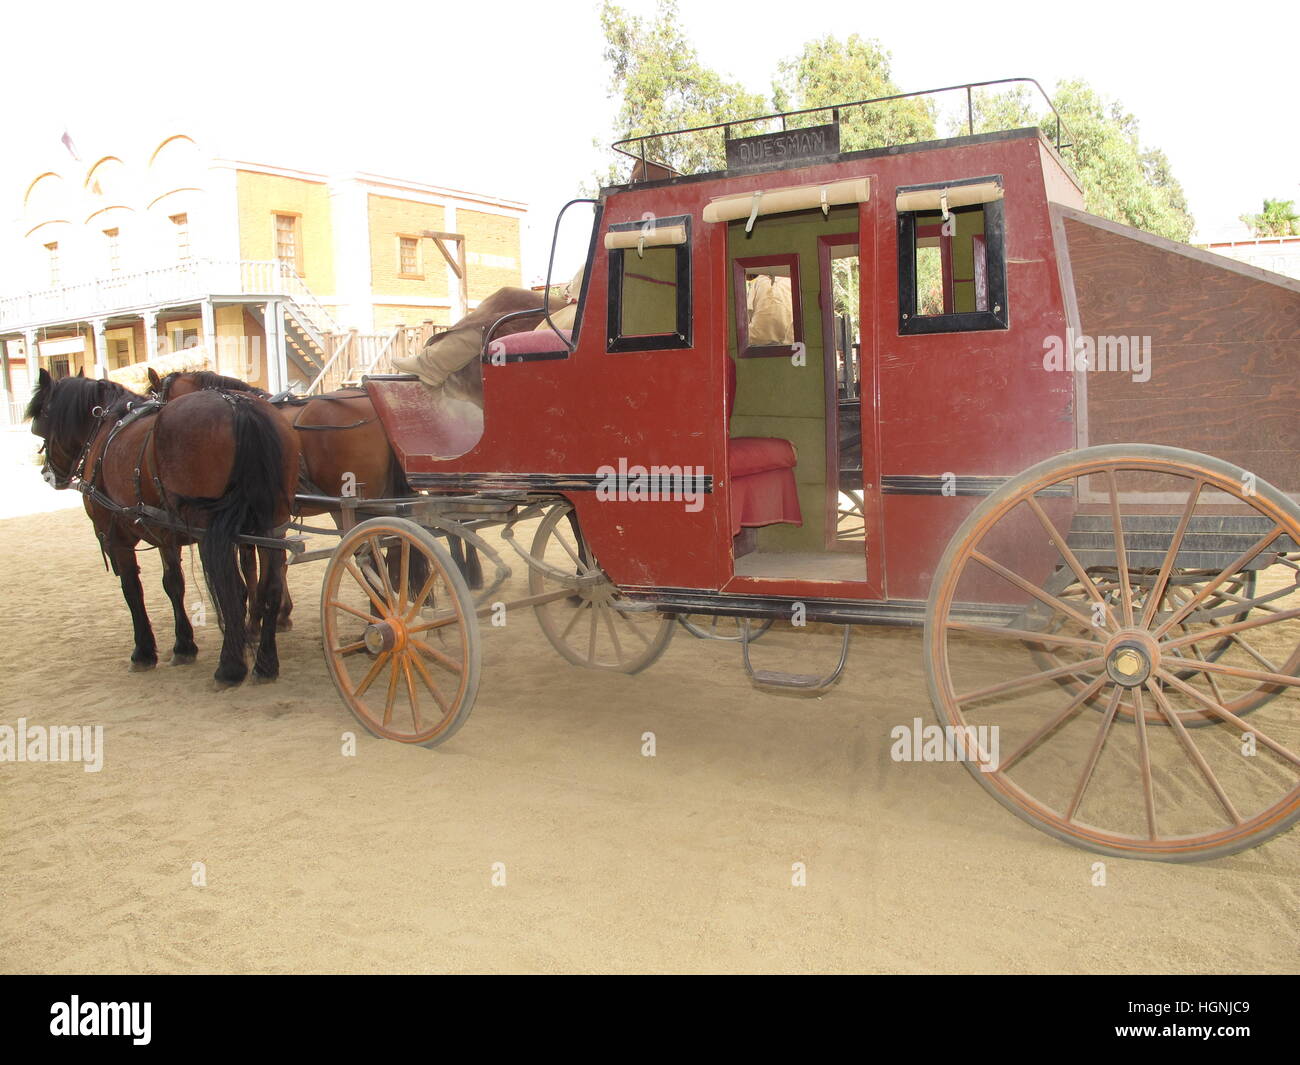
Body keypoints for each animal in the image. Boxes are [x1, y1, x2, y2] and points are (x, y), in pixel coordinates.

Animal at [26, 366, 297, 686]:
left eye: (41, 420)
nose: (48, 474)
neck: (105, 426)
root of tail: (237, 405)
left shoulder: (116, 536)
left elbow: (132, 589)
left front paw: (144, 651)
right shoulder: (165, 532)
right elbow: (174, 585)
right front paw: (184, 645)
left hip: (212, 531)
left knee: (233, 588)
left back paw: (230, 666)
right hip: (271, 522)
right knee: (270, 585)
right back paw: (265, 662)